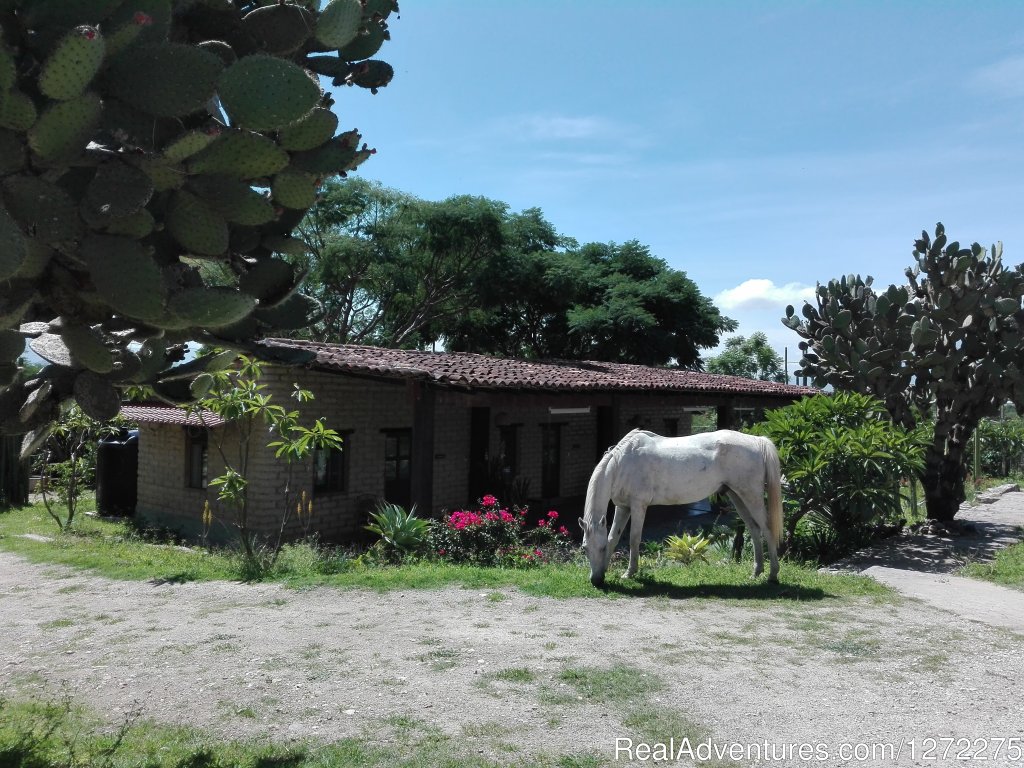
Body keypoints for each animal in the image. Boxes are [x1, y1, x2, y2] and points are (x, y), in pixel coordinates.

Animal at [577, 428, 782, 589]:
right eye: (585, 548)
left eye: (601, 548)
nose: (596, 581)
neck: (622, 463)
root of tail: (757, 441)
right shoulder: (623, 507)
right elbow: (614, 538)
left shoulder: (638, 506)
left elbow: (633, 539)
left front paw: (629, 573)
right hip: (737, 496)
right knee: (754, 529)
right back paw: (756, 572)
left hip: (751, 496)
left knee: (767, 529)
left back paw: (772, 575)